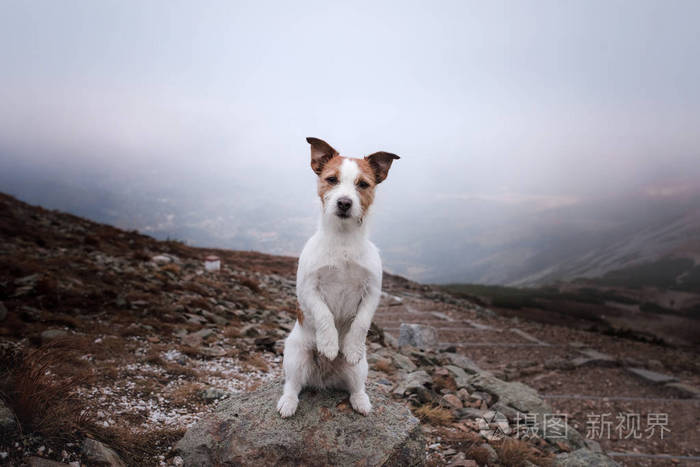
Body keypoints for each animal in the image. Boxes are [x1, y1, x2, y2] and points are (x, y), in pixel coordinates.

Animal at [278, 137, 402, 418]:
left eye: (363, 184)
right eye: (331, 179)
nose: (344, 203)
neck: (343, 240)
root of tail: (324, 377)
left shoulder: (372, 292)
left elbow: (361, 323)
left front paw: (350, 347)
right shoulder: (308, 289)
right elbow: (324, 315)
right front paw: (329, 344)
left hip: (360, 369)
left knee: (356, 387)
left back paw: (361, 401)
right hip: (294, 356)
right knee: (292, 385)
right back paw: (287, 403)